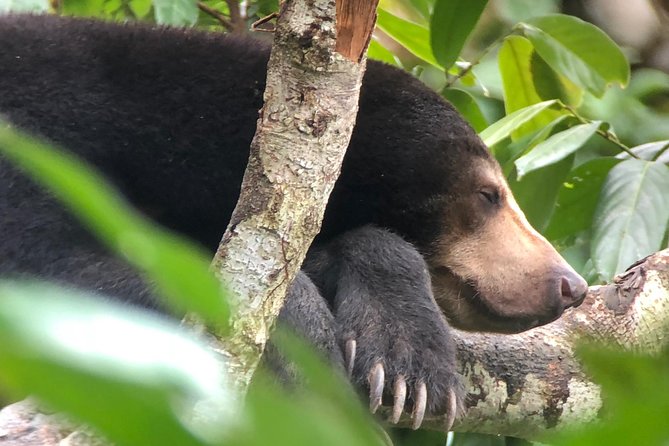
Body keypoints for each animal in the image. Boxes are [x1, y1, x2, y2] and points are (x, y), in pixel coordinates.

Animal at [0, 14, 588, 428]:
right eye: (488, 195)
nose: (569, 285)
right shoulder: (34, 143)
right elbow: (48, 270)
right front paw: (311, 349)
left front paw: (407, 362)